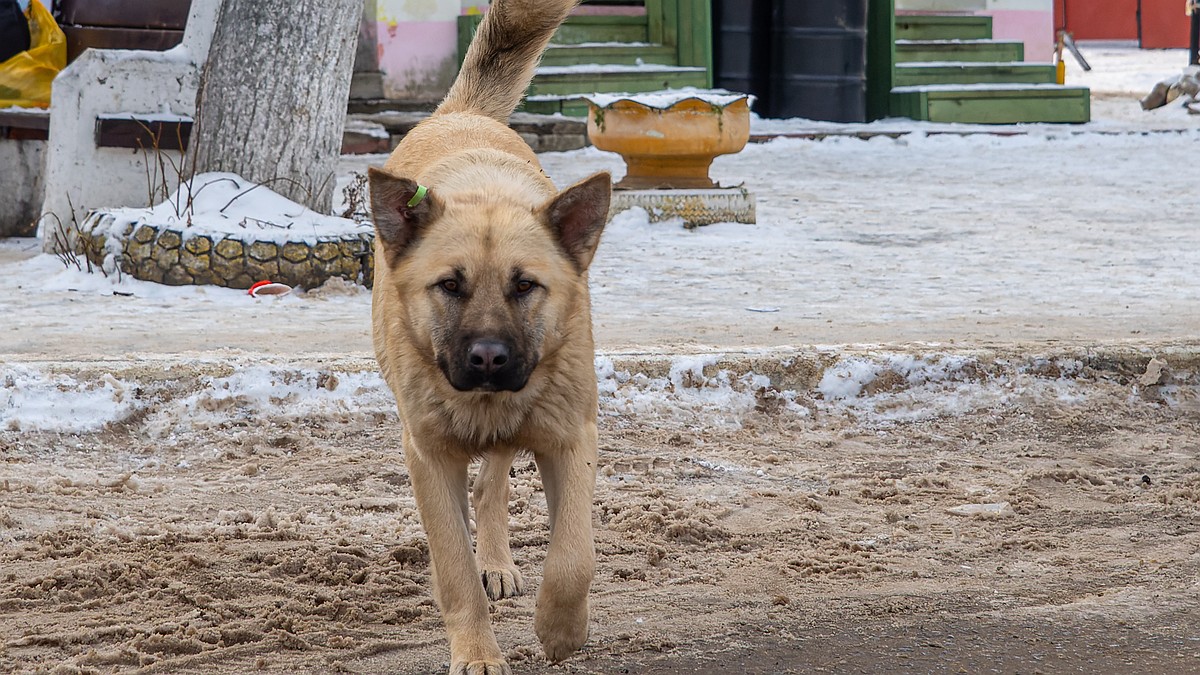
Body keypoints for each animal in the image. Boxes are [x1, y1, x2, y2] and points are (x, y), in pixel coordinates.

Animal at [364, 2, 609, 667]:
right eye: (450, 285)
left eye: (525, 286)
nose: (489, 359)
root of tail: (462, 115)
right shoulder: (428, 455)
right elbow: (453, 567)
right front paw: (476, 652)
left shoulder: (569, 438)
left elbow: (574, 555)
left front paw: (561, 630)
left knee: (493, 485)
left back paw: (498, 561)